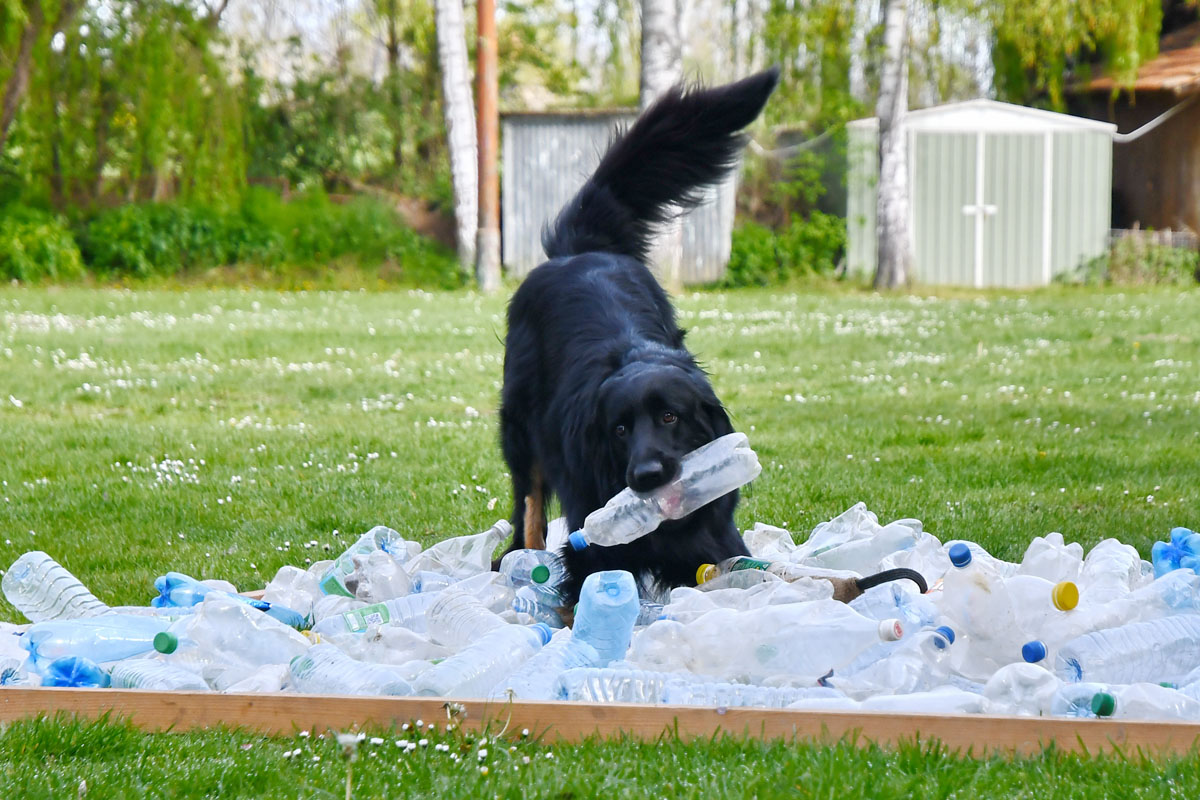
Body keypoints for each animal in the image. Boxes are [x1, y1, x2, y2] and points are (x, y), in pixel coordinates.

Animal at [494, 70, 777, 606]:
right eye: (619, 430)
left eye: (670, 417)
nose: (645, 478)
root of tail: (579, 250)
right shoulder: (591, 554)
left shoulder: (714, 542)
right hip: (521, 429)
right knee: (529, 507)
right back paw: (521, 561)